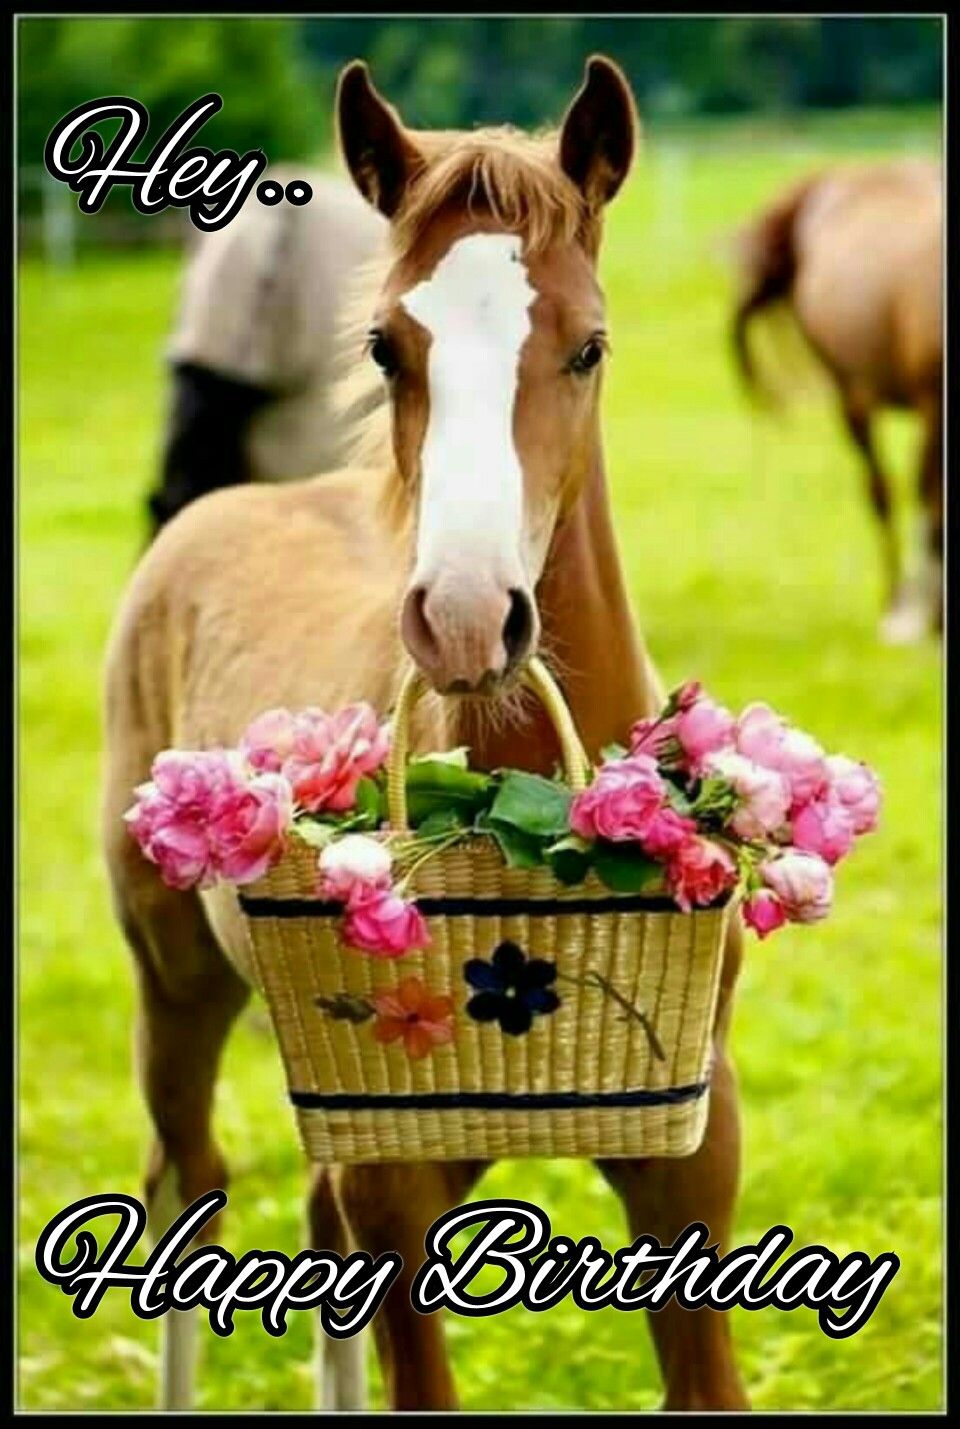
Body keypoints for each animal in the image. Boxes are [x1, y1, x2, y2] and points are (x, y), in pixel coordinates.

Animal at [101, 56, 748, 1412]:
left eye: (589, 345)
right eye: (383, 344)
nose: (463, 616)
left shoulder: (691, 1157)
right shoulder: (396, 1180)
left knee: (303, 1215)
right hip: (173, 984)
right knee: (188, 1180)